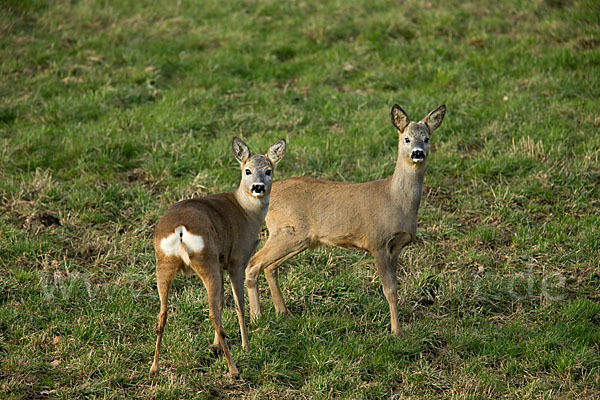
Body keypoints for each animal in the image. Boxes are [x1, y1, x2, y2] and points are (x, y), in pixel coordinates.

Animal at [152, 136, 288, 376]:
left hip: (166, 262)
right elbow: (239, 304)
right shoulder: (237, 260)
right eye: (247, 170)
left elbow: (223, 302)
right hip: (205, 259)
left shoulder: (221, 262)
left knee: (162, 314)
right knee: (212, 313)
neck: (246, 211)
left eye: (269, 170)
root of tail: (180, 229)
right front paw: (245, 346)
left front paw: (215, 346)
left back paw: (154, 368)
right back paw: (234, 369)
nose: (258, 187)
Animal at [244, 104, 446, 336]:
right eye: (406, 138)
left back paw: (283, 313)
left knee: (270, 267)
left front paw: (397, 328)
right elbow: (388, 290)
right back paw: (257, 319)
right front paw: (396, 332)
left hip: (297, 238)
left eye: (427, 138)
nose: (417, 153)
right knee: (254, 263)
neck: (395, 199)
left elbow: (395, 288)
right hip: (286, 232)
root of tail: (268, 194)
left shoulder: (396, 247)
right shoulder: (377, 241)